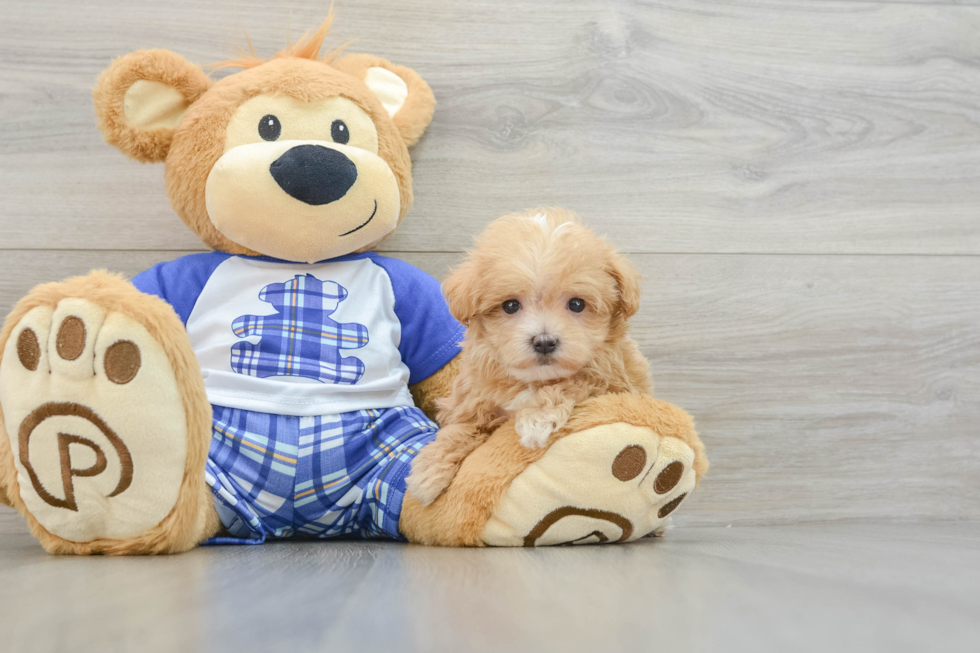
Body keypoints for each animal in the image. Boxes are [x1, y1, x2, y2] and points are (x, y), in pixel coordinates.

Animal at [406, 208, 652, 504]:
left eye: (577, 304)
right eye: (511, 305)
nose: (544, 342)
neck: (532, 380)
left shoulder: (614, 382)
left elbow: (575, 380)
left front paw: (537, 418)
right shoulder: (471, 399)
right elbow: (460, 428)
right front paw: (428, 471)